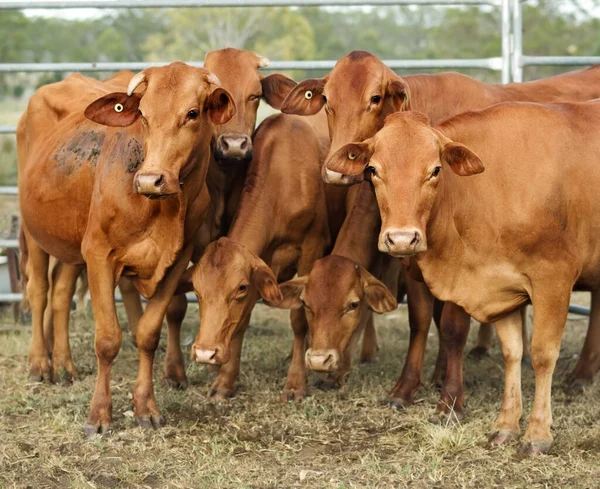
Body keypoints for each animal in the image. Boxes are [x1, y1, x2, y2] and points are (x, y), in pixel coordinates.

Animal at [19, 63, 234, 432]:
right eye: (143, 114)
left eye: (192, 113)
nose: (150, 180)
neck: (162, 210)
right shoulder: (99, 254)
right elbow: (107, 340)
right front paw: (99, 415)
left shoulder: (177, 261)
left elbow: (148, 333)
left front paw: (146, 407)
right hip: (35, 233)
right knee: (39, 291)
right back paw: (40, 365)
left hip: (70, 243)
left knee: (60, 295)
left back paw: (64, 365)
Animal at [186, 112, 330, 398]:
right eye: (196, 289)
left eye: (239, 287)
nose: (206, 353)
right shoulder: (260, 265)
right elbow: (242, 320)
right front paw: (225, 381)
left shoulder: (312, 249)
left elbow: (299, 317)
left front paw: (296, 382)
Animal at [278, 51, 600, 412]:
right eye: (327, 100)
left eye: (374, 98)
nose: (336, 171)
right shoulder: (414, 262)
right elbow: (421, 320)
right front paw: (409, 386)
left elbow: (451, 326)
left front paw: (451, 394)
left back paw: (581, 374)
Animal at [326, 103, 600, 454]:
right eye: (373, 169)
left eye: (435, 170)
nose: (401, 239)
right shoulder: (501, 286)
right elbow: (512, 352)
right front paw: (506, 426)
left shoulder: (553, 277)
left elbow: (541, 354)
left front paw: (537, 433)